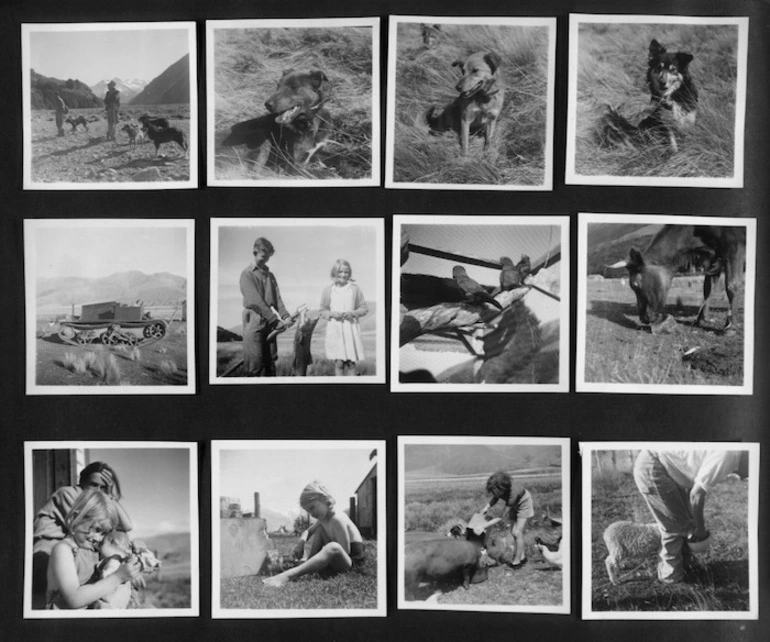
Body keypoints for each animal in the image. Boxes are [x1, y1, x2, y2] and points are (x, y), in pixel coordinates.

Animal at [608, 224, 744, 330]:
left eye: (635, 285)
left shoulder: (734, 249)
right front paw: (702, 320)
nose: (643, 318)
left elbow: (732, 285)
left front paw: (730, 327)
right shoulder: (714, 262)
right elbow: (708, 290)